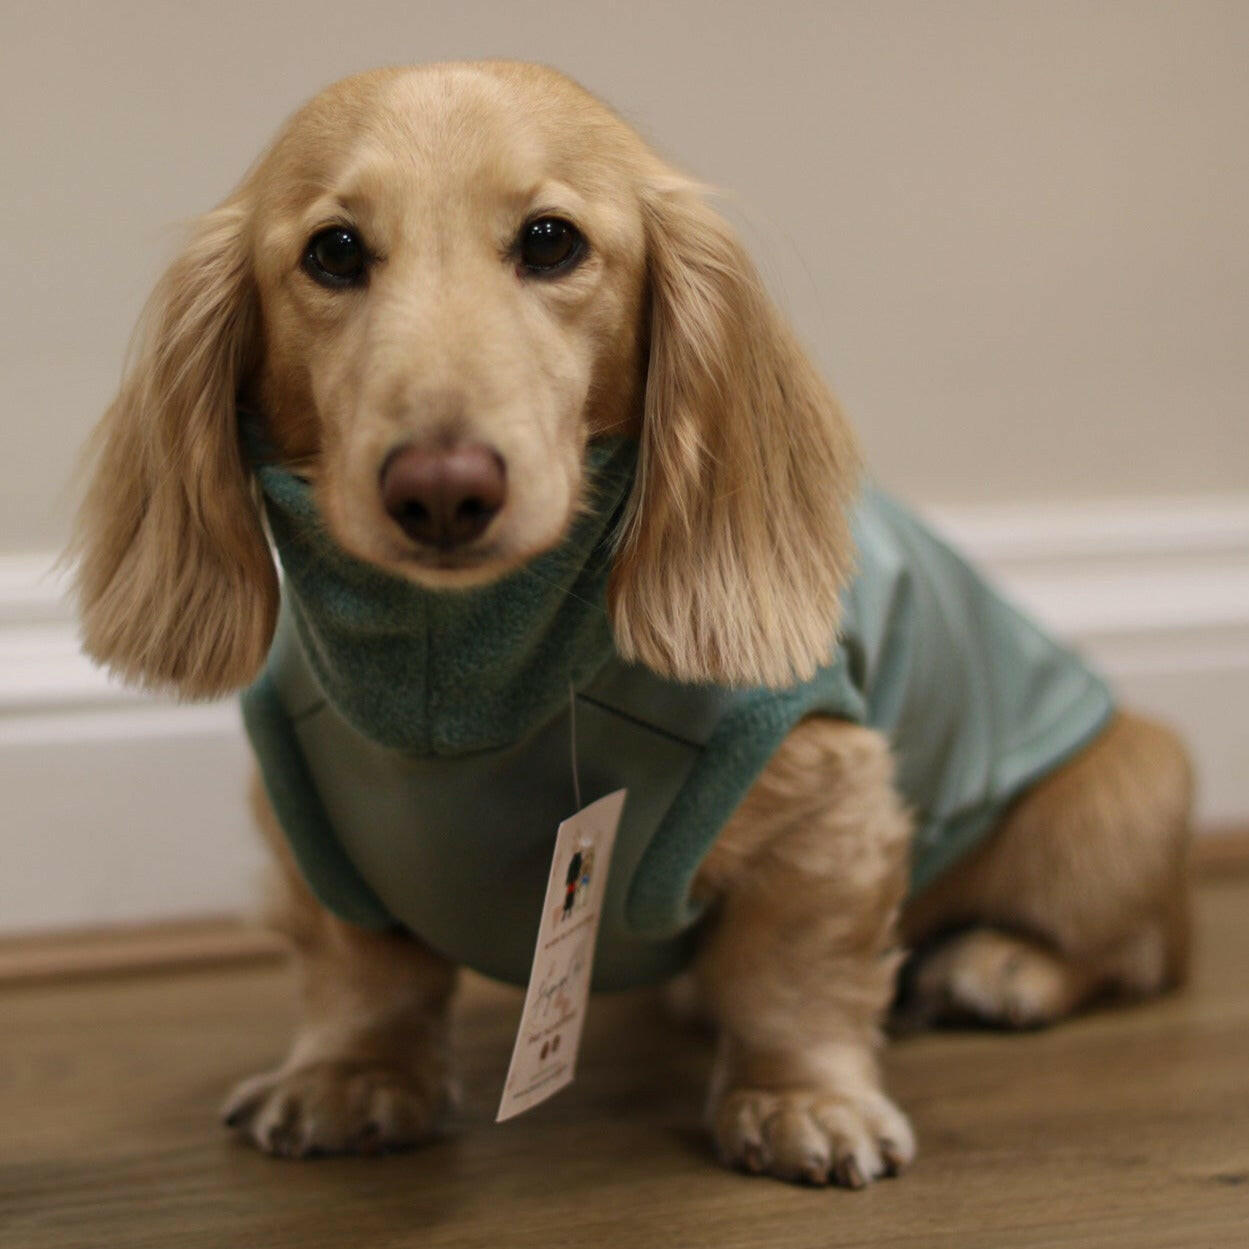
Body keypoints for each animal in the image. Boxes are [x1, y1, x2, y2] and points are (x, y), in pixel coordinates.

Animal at [75, 60, 1189, 1189]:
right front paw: (348, 1075)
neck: (461, 676)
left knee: (1137, 951)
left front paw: (803, 1100)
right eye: (334, 251)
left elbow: (795, 974)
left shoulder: (830, 799)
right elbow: (362, 973)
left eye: (550, 240)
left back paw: (1003, 965)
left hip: (1121, 797)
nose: (442, 489)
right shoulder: (312, 835)